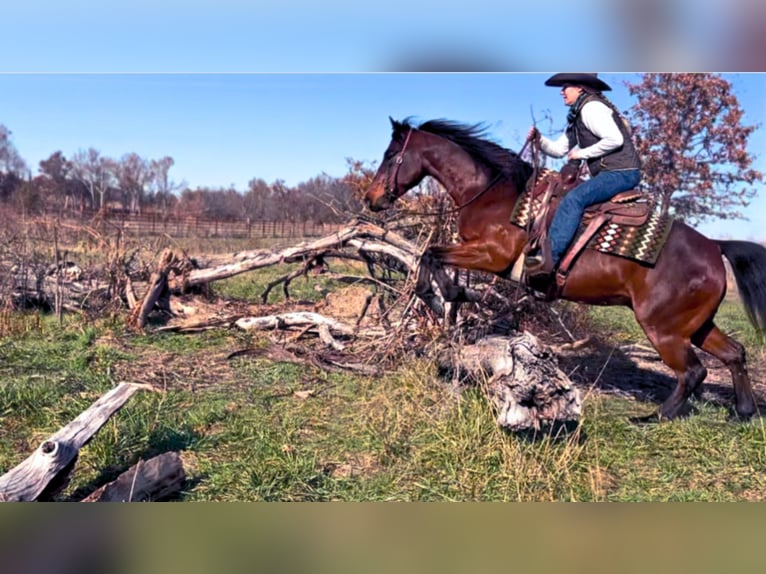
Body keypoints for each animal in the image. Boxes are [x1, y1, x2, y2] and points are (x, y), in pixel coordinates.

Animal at [366, 118, 766, 424]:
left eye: (391, 156)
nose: (372, 199)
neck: (493, 195)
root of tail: (715, 247)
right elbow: (429, 255)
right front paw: (451, 294)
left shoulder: (492, 256)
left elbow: (430, 255)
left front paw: (447, 294)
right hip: (695, 325)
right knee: (734, 353)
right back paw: (744, 412)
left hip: (663, 329)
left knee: (693, 371)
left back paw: (655, 417)